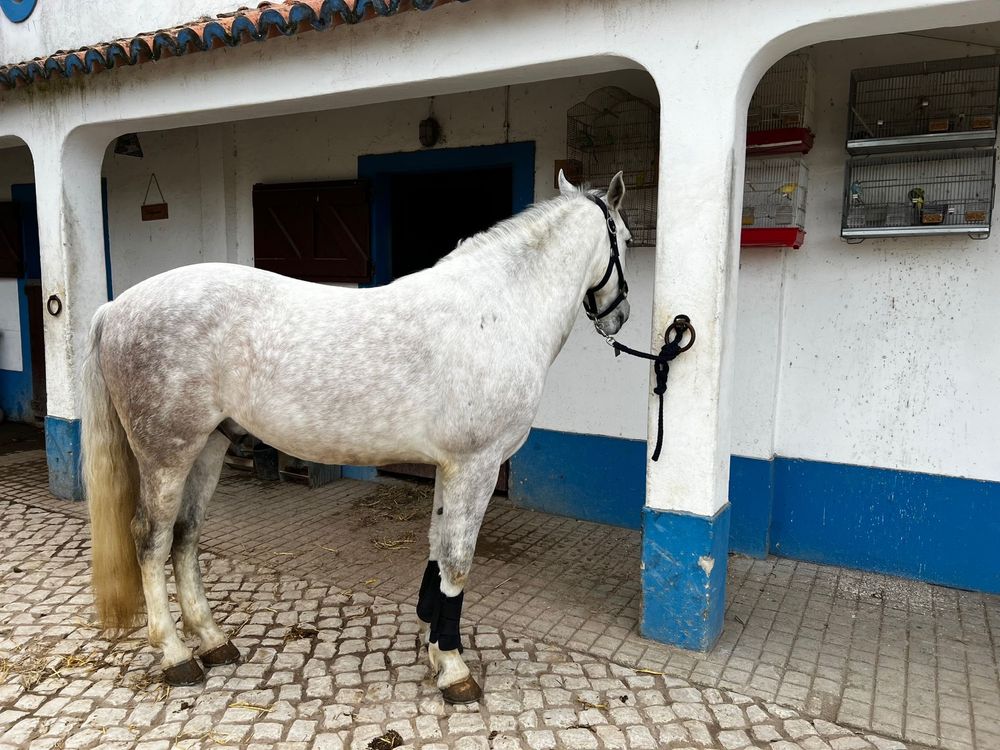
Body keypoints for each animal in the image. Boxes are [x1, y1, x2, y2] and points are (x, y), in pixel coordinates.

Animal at [86, 170, 632, 704]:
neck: (495, 311)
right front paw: (455, 670)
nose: (621, 315)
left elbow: (436, 553)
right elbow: (457, 564)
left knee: (186, 536)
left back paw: (214, 640)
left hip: (208, 447)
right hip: (166, 454)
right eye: (627, 238)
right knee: (151, 540)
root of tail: (116, 308)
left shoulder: (449, 467)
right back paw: (177, 655)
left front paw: (434, 649)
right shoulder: (476, 465)